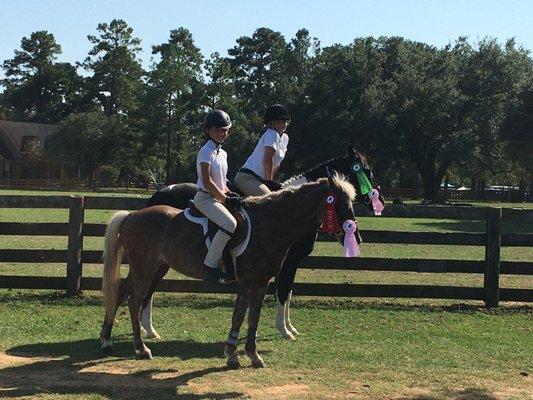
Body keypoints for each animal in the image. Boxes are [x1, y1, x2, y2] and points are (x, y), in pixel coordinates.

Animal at [100, 173, 358, 368]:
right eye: (341, 203)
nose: (354, 234)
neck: (271, 223)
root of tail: (132, 215)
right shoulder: (248, 282)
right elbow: (240, 315)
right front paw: (233, 354)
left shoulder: (262, 282)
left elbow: (254, 317)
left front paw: (254, 355)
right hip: (145, 269)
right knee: (134, 301)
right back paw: (141, 348)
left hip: (149, 268)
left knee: (121, 294)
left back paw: (107, 340)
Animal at [140, 148, 382, 342]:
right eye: (366, 170)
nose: (376, 201)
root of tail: (160, 193)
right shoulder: (287, 262)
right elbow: (283, 292)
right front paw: (285, 331)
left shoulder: (289, 263)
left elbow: (288, 292)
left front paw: (289, 327)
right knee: (149, 288)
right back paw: (148, 329)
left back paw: (148, 329)